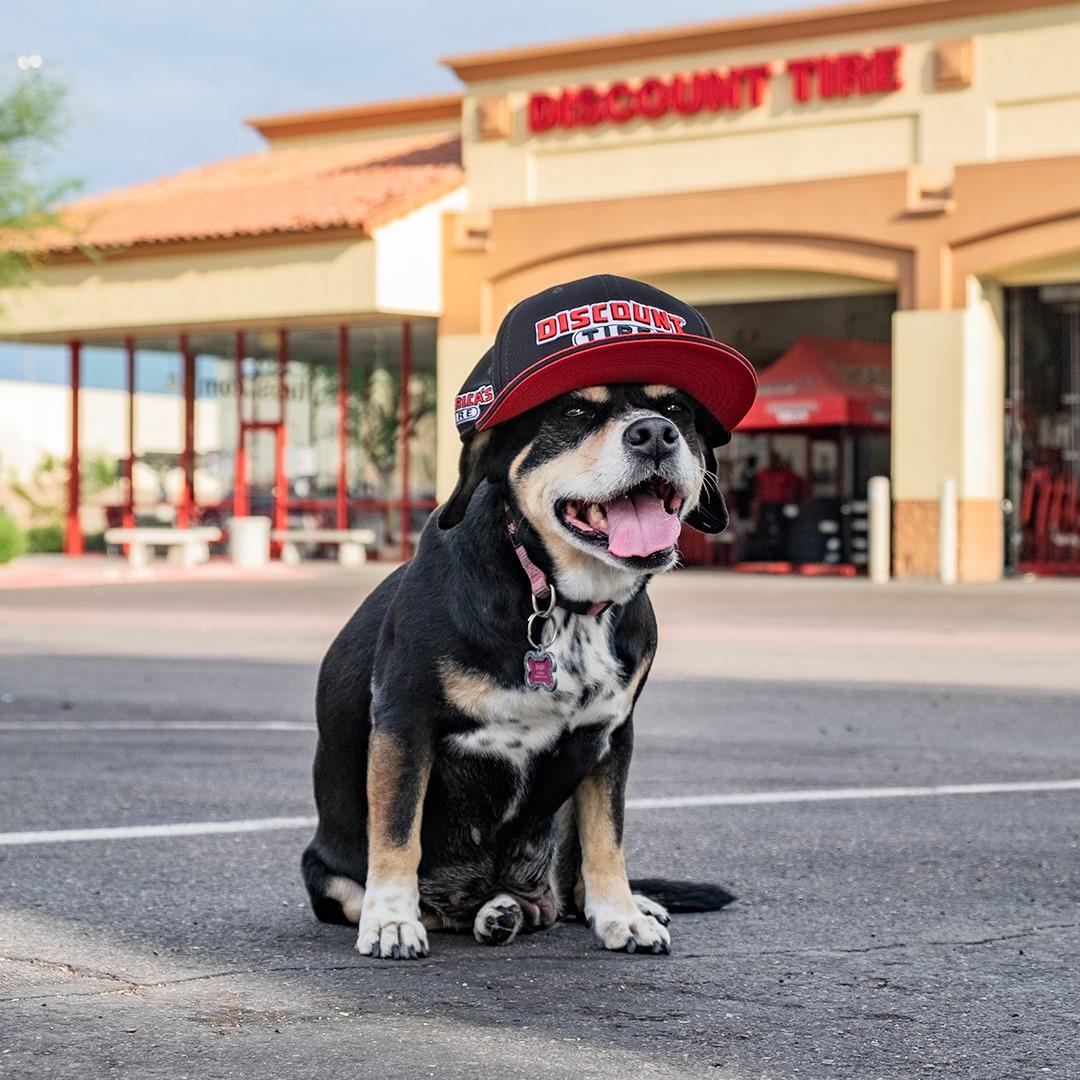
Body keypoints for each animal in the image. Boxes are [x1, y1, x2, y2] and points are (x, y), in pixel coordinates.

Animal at [298, 274, 751, 959]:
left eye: (675, 410)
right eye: (574, 413)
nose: (653, 433)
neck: (562, 601)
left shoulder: (609, 738)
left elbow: (606, 838)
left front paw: (621, 914)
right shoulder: (404, 722)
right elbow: (397, 832)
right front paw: (392, 920)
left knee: (568, 880)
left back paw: (561, 907)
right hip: (323, 870)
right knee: (413, 896)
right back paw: (476, 912)